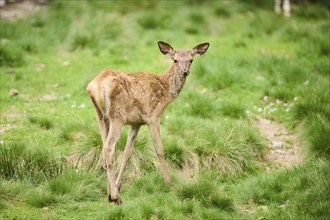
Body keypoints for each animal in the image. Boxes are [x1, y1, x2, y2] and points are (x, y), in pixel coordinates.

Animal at [85, 40, 209, 204]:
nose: (184, 71)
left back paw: (110, 194)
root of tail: (97, 87)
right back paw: (116, 197)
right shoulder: (153, 117)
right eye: (175, 60)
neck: (165, 92)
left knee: (104, 147)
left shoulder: (136, 122)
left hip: (100, 115)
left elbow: (128, 152)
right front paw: (169, 182)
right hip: (117, 116)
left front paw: (118, 185)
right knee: (109, 148)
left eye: (191, 59)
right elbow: (159, 149)